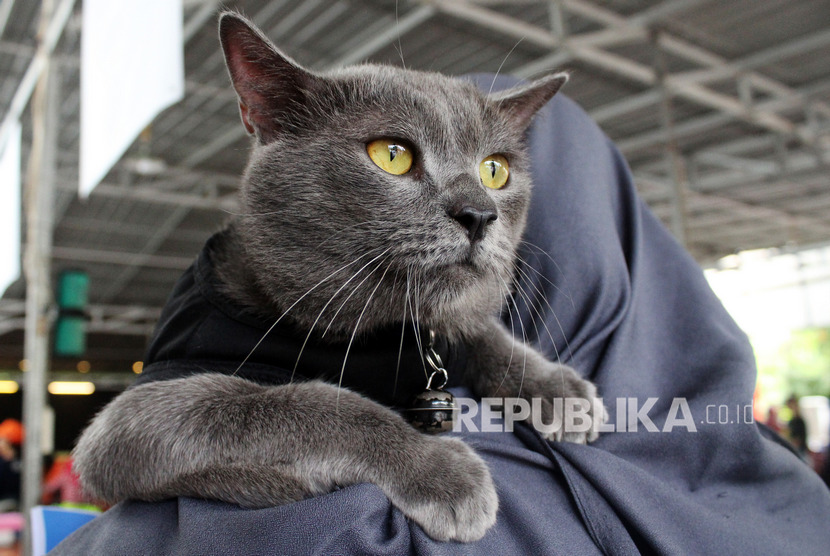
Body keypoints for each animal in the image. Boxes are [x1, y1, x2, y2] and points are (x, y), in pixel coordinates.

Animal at [71, 11, 604, 544]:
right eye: (392, 154)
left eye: (495, 170)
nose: (479, 213)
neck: (377, 332)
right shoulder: (135, 417)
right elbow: (302, 404)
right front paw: (439, 469)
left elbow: (480, 332)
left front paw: (560, 391)